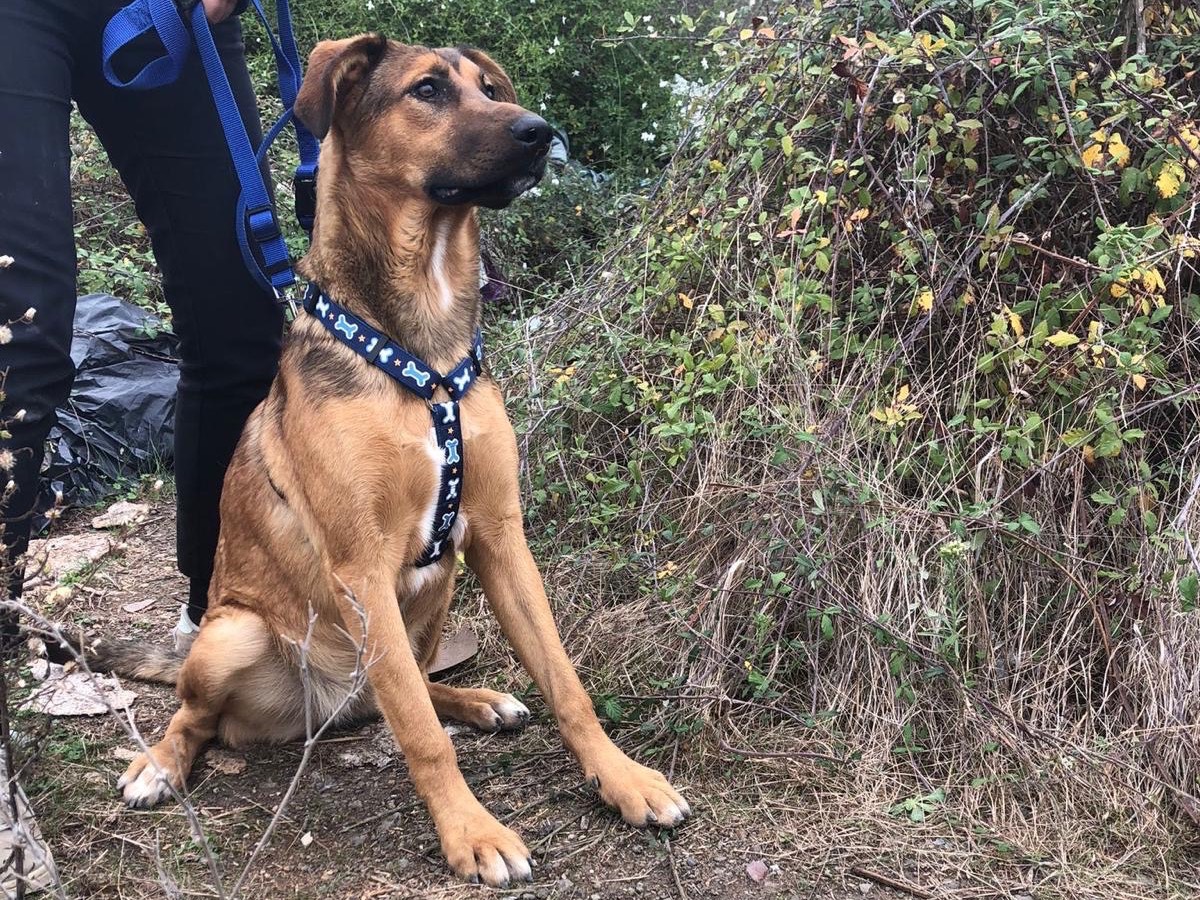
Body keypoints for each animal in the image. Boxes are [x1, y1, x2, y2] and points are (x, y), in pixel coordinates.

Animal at [98, 33, 691, 888]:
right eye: (429, 90)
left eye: (488, 88)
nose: (539, 132)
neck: (422, 346)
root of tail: (326, 707)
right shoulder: (362, 567)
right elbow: (419, 735)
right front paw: (473, 832)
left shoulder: (499, 536)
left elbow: (563, 681)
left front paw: (623, 780)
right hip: (231, 632)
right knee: (202, 714)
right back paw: (160, 764)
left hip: (438, 584)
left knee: (402, 688)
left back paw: (476, 700)